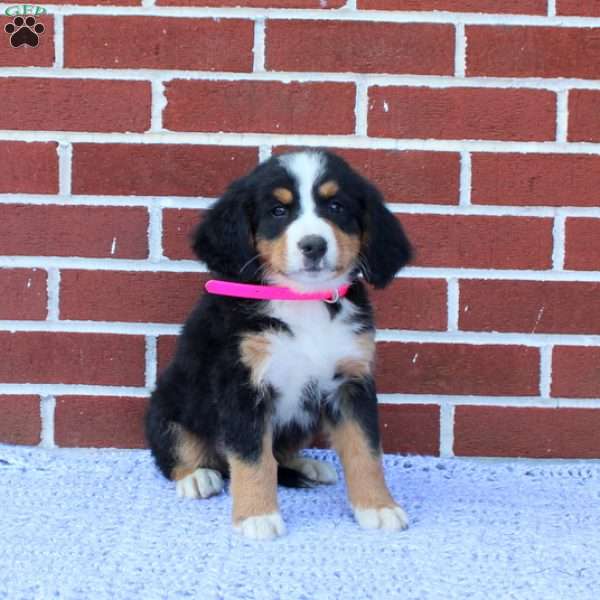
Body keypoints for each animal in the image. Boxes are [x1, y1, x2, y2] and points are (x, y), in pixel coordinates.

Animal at [146, 149, 412, 540]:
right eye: (278, 211)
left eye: (336, 206)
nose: (313, 245)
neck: (303, 300)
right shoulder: (242, 385)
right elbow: (253, 458)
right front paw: (257, 516)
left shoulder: (350, 382)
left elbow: (366, 451)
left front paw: (378, 507)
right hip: (168, 405)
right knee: (180, 452)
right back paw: (197, 477)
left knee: (281, 452)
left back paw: (306, 465)